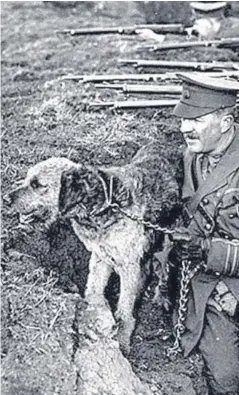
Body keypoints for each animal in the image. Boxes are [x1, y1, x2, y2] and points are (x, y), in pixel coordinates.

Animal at [8, 144, 181, 354]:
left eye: (37, 184)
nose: (6, 198)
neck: (101, 205)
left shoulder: (127, 263)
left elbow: (124, 307)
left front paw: (122, 338)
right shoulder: (100, 256)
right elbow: (94, 288)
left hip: (169, 235)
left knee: (164, 266)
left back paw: (161, 296)